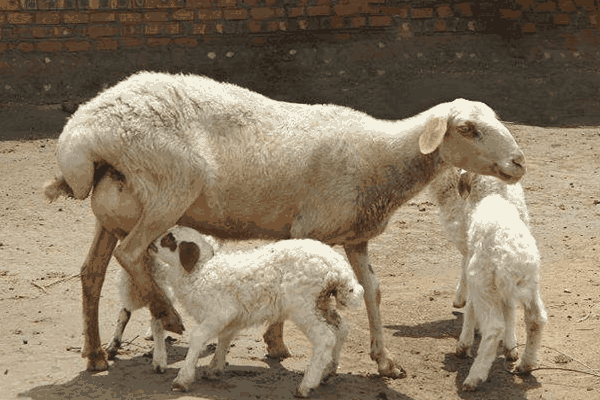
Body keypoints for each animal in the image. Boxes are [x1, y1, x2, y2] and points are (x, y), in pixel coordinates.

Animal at [44, 72, 528, 378]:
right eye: (467, 128)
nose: (519, 162)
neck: (380, 157)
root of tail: (81, 133)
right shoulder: (309, 230)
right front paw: (276, 342)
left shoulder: (355, 238)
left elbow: (373, 292)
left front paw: (384, 361)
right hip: (169, 187)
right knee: (130, 254)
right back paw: (167, 315)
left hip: (113, 210)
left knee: (92, 272)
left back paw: (94, 355)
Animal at [148, 225, 364, 396]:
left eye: (168, 239)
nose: (150, 245)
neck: (201, 271)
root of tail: (338, 269)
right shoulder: (231, 317)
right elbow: (224, 338)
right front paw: (214, 369)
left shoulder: (220, 311)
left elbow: (197, 338)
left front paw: (182, 379)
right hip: (322, 303)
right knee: (341, 329)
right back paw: (327, 372)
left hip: (303, 305)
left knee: (325, 337)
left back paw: (306, 385)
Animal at [428, 169, 548, 390]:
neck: (492, 194)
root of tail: (514, 258)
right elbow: (507, 310)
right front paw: (510, 348)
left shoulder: (473, 266)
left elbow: (470, 306)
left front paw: (464, 343)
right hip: (530, 285)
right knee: (536, 319)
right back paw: (526, 364)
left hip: (484, 282)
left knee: (494, 327)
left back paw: (475, 377)